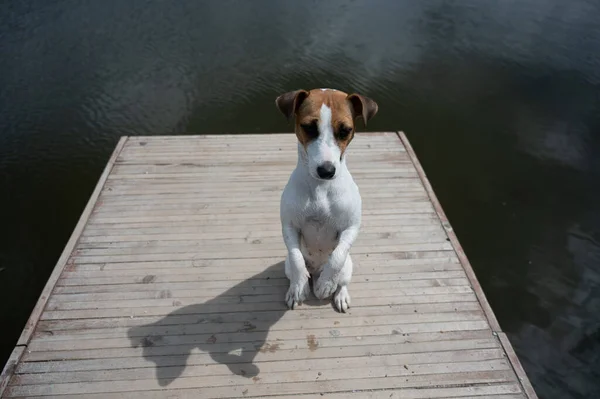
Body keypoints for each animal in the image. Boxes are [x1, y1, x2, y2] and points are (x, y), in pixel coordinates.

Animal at [274, 87, 378, 312]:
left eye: (345, 130)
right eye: (309, 128)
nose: (326, 171)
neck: (321, 189)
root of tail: (316, 270)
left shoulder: (351, 227)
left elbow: (337, 257)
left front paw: (326, 284)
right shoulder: (289, 226)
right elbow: (296, 259)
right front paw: (300, 286)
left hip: (349, 267)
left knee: (343, 280)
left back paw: (338, 293)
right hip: (286, 266)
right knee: (295, 268)